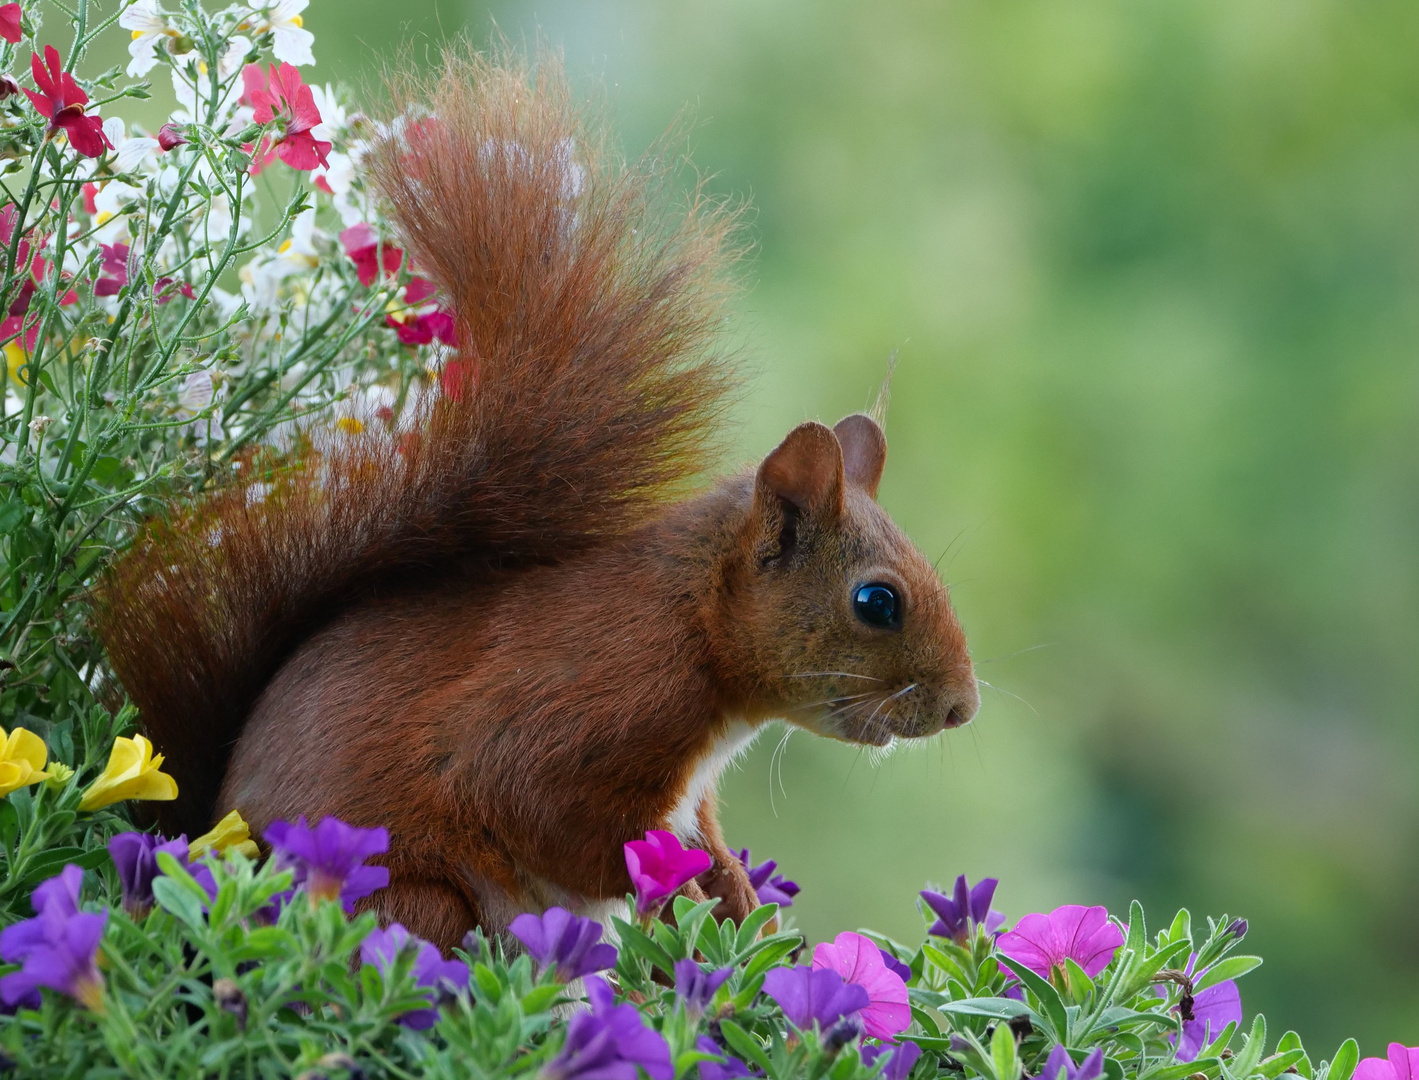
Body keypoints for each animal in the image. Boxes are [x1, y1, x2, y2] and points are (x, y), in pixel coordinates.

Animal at [91, 52, 976, 942]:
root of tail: (209, 836)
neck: (693, 626)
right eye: (877, 602)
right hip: (414, 900)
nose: (961, 710)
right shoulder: (580, 712)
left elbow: (704, 838)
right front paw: (690, 902)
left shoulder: (687, 793)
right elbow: (557, 823)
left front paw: (735, 896)